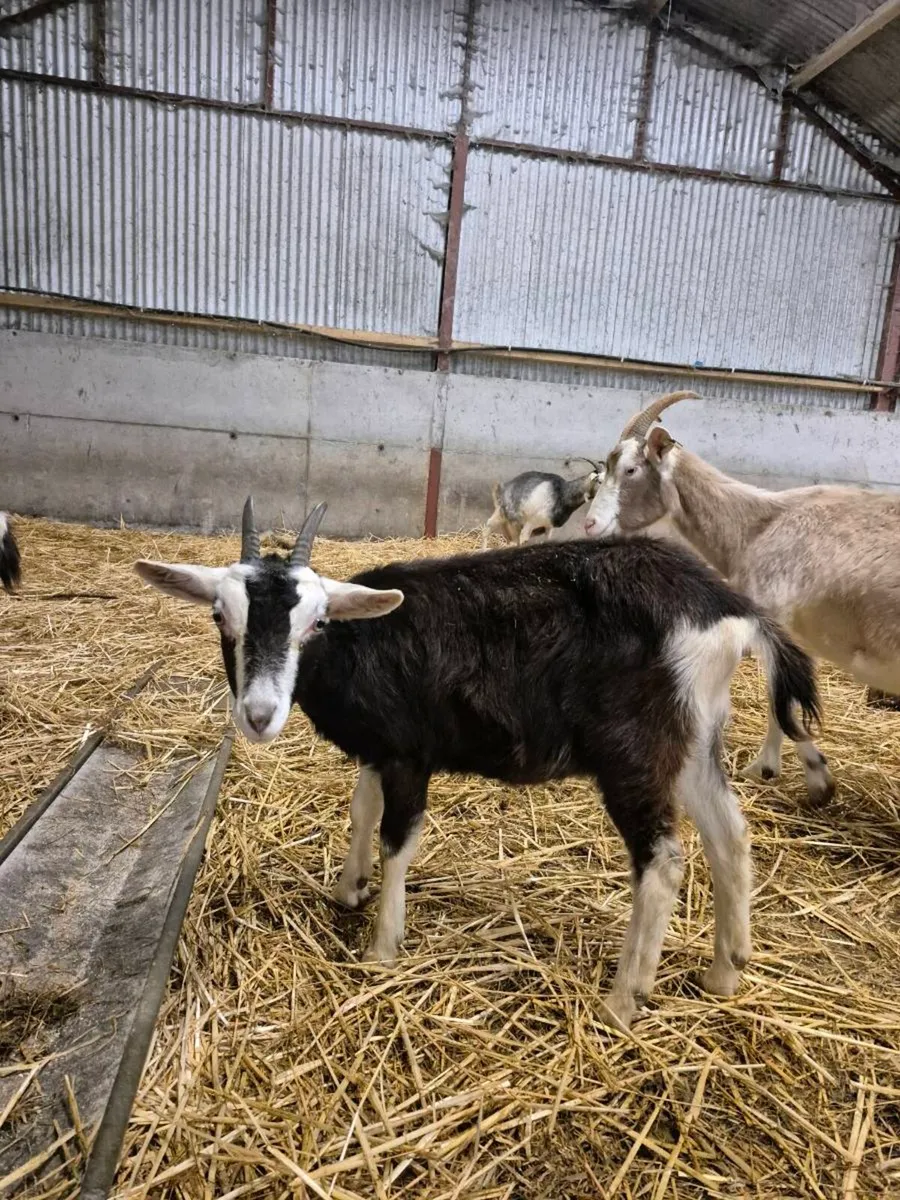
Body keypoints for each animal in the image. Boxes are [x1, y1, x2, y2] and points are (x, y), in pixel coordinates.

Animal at [134, 499, 818, 1029]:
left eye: (317, 622)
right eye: (220, 615)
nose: (258, 715)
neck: (364, 639)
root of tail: (728, 611)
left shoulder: (410, 752)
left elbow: (397, 837)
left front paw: (382, 947)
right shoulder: (380, 749)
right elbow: (361, 809)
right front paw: (349, 888)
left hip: (634, 752)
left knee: (665, 860)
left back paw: (623, 1001)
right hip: (693, 738)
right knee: (730, 835)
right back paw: (724, 972)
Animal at [584, 390, 900, 806]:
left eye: (631, 470)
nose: (590, 524)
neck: (757, 526)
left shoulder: (775, 618)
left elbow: (779, 697)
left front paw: (788, 774)